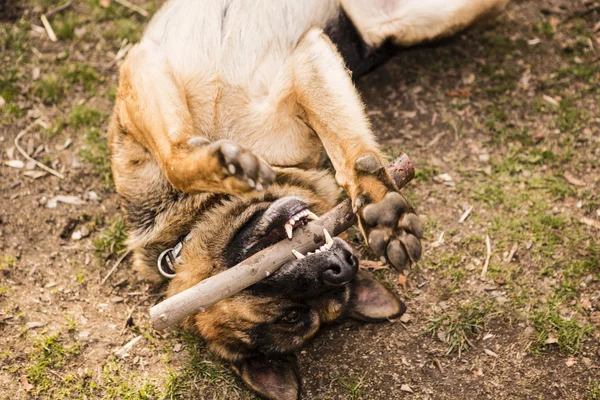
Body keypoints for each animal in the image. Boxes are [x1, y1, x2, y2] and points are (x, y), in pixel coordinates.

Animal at [106, 1, 506, 398]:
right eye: (293, 315)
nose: (344, 265)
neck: (190, 225)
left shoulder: (299, 67)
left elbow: (177, 158)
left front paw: (380, 207)